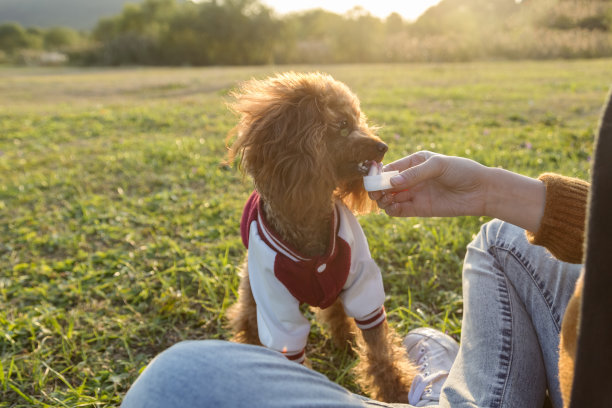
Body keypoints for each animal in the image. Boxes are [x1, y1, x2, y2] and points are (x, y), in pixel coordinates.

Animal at [225, 72, 416, 402]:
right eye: (341, 125)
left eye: (358, 119)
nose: (383, 146)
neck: (308, 219)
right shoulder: (276, 306)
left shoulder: (360, 281)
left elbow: (377, 343)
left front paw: (397, 391)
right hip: (252, 282)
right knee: (247, 312)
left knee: (337, 311)